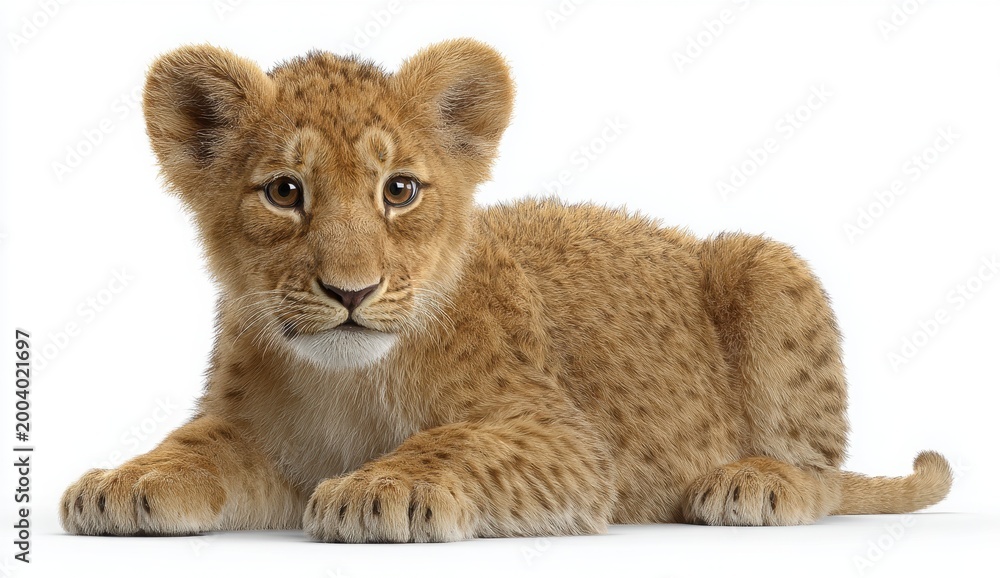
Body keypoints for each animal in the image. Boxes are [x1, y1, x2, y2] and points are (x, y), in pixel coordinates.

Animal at [59, 39, 952, 542]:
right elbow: (191, 448)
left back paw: (753, 483)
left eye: (399, 190)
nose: (351, 291)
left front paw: (385, 487)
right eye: (284, 192)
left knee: (825, 473)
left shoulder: (565, 438)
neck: (344, 383)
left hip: (767, 267)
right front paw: (123, 482)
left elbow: (460, 440)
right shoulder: (254, 435)